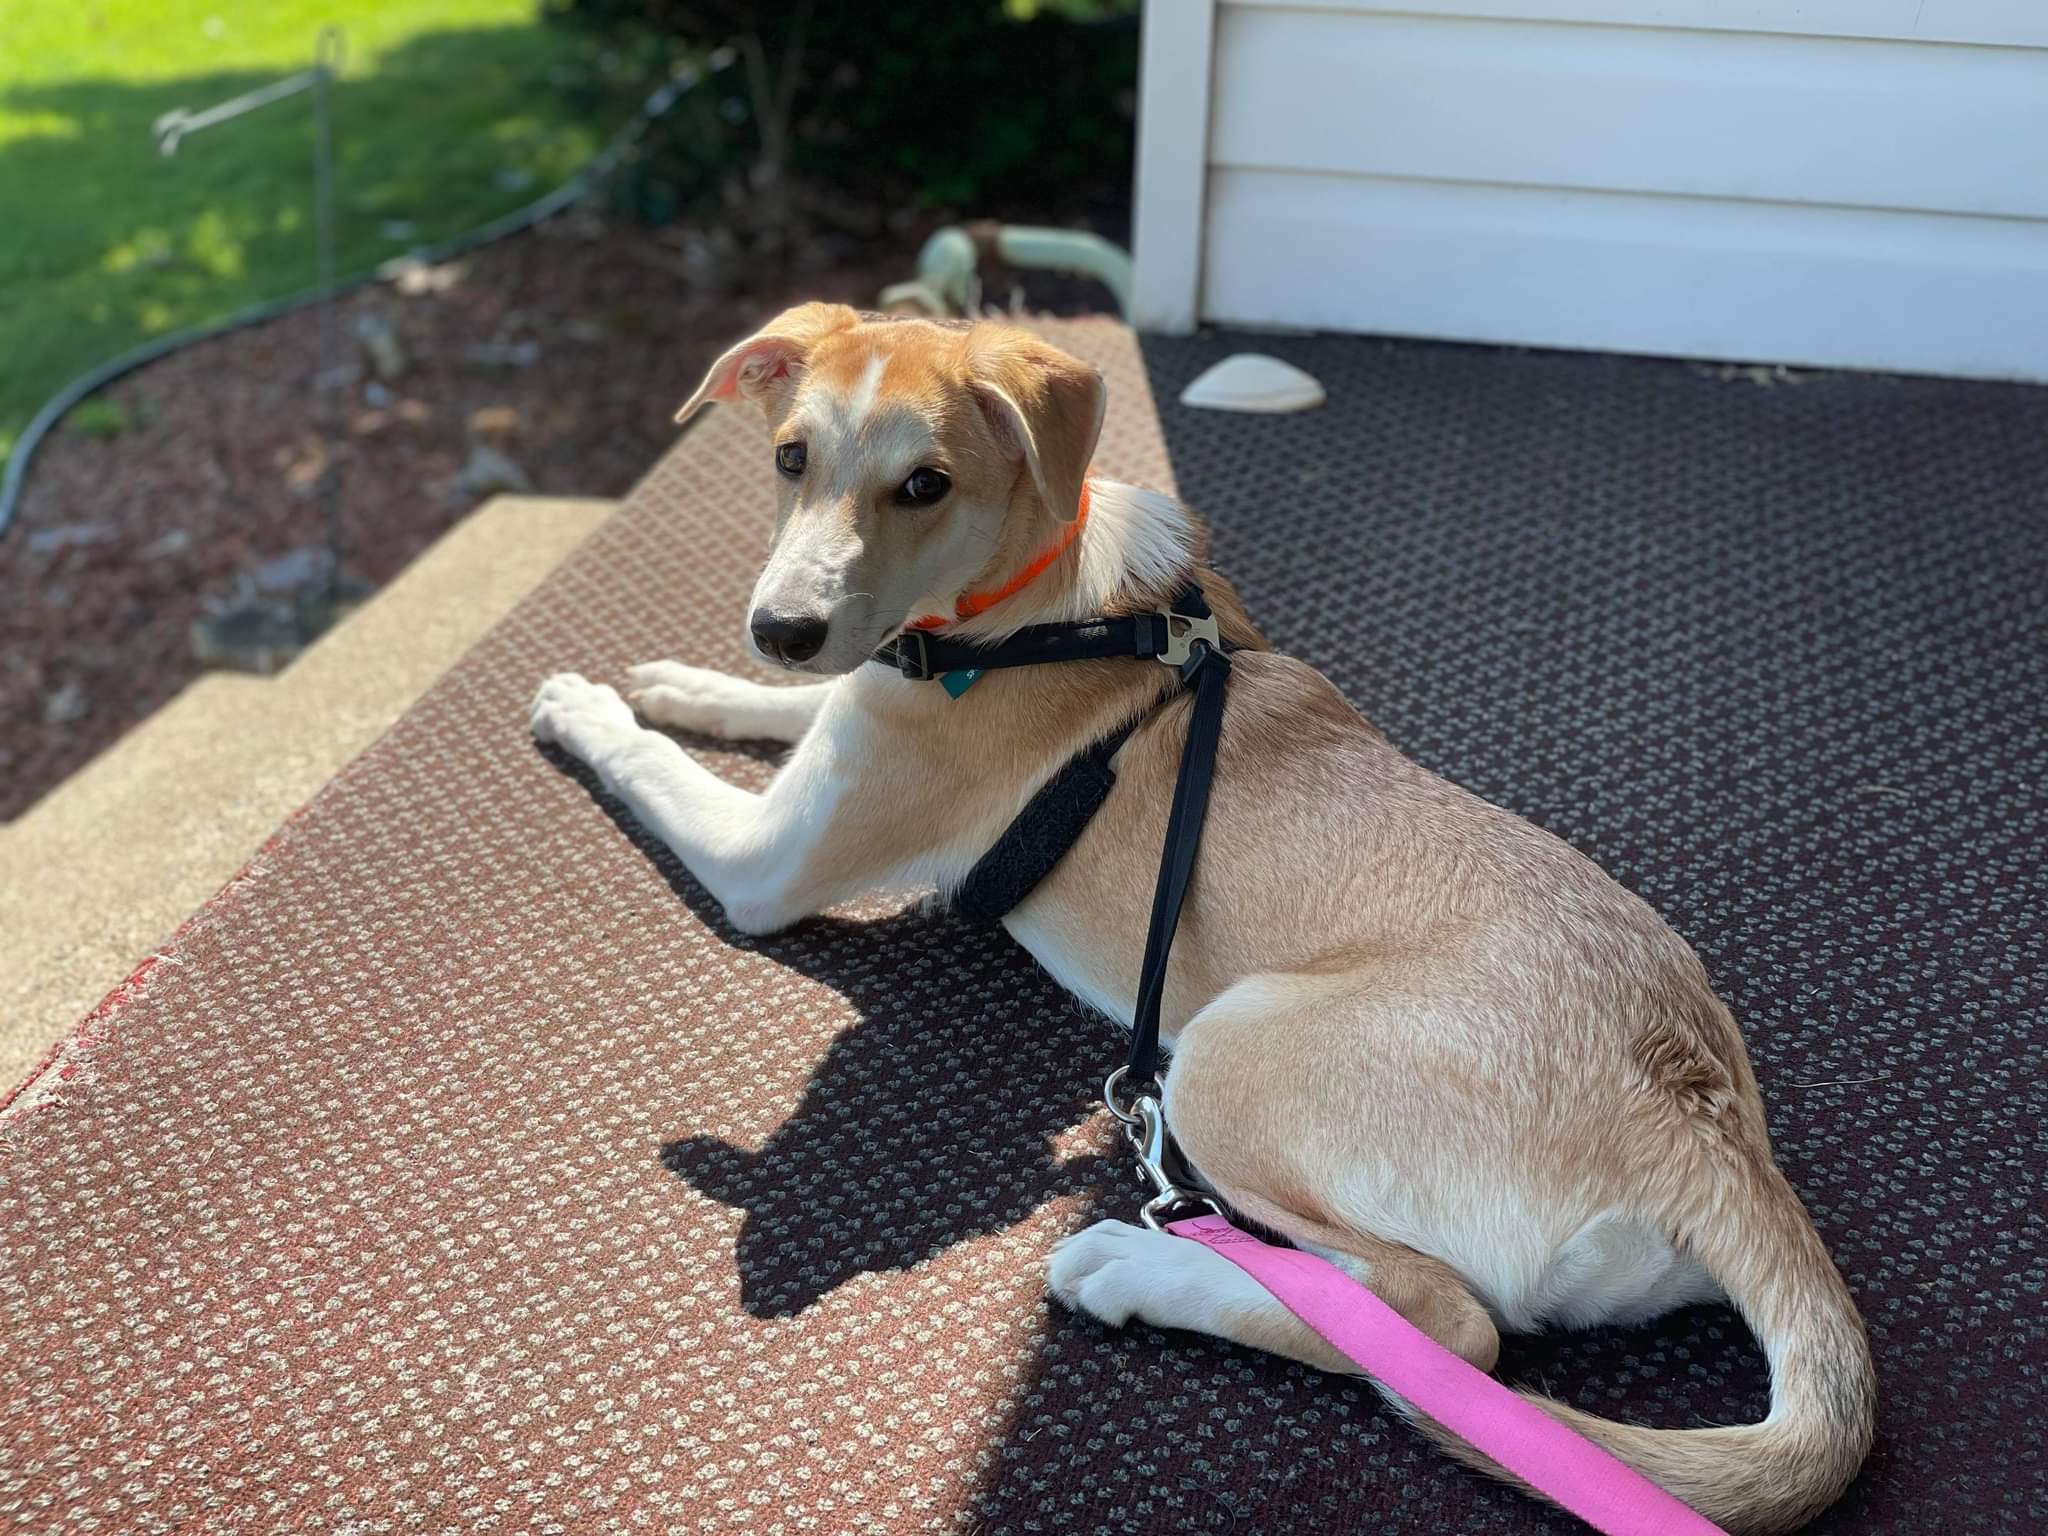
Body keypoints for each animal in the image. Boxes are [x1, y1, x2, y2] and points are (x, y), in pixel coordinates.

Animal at [528, 303, 1875, 1536]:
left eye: (924, 484)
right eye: (788, 457)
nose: (783, 627)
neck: (1031, 614)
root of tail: (1694, 1119)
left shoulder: (767, 862)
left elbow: (654, 766)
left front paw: (585, 707)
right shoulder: (843, 714)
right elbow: (775, 710)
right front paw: (685, 682)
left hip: (1228, 1054)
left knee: (1438, 1331)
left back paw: (1139, 1267)